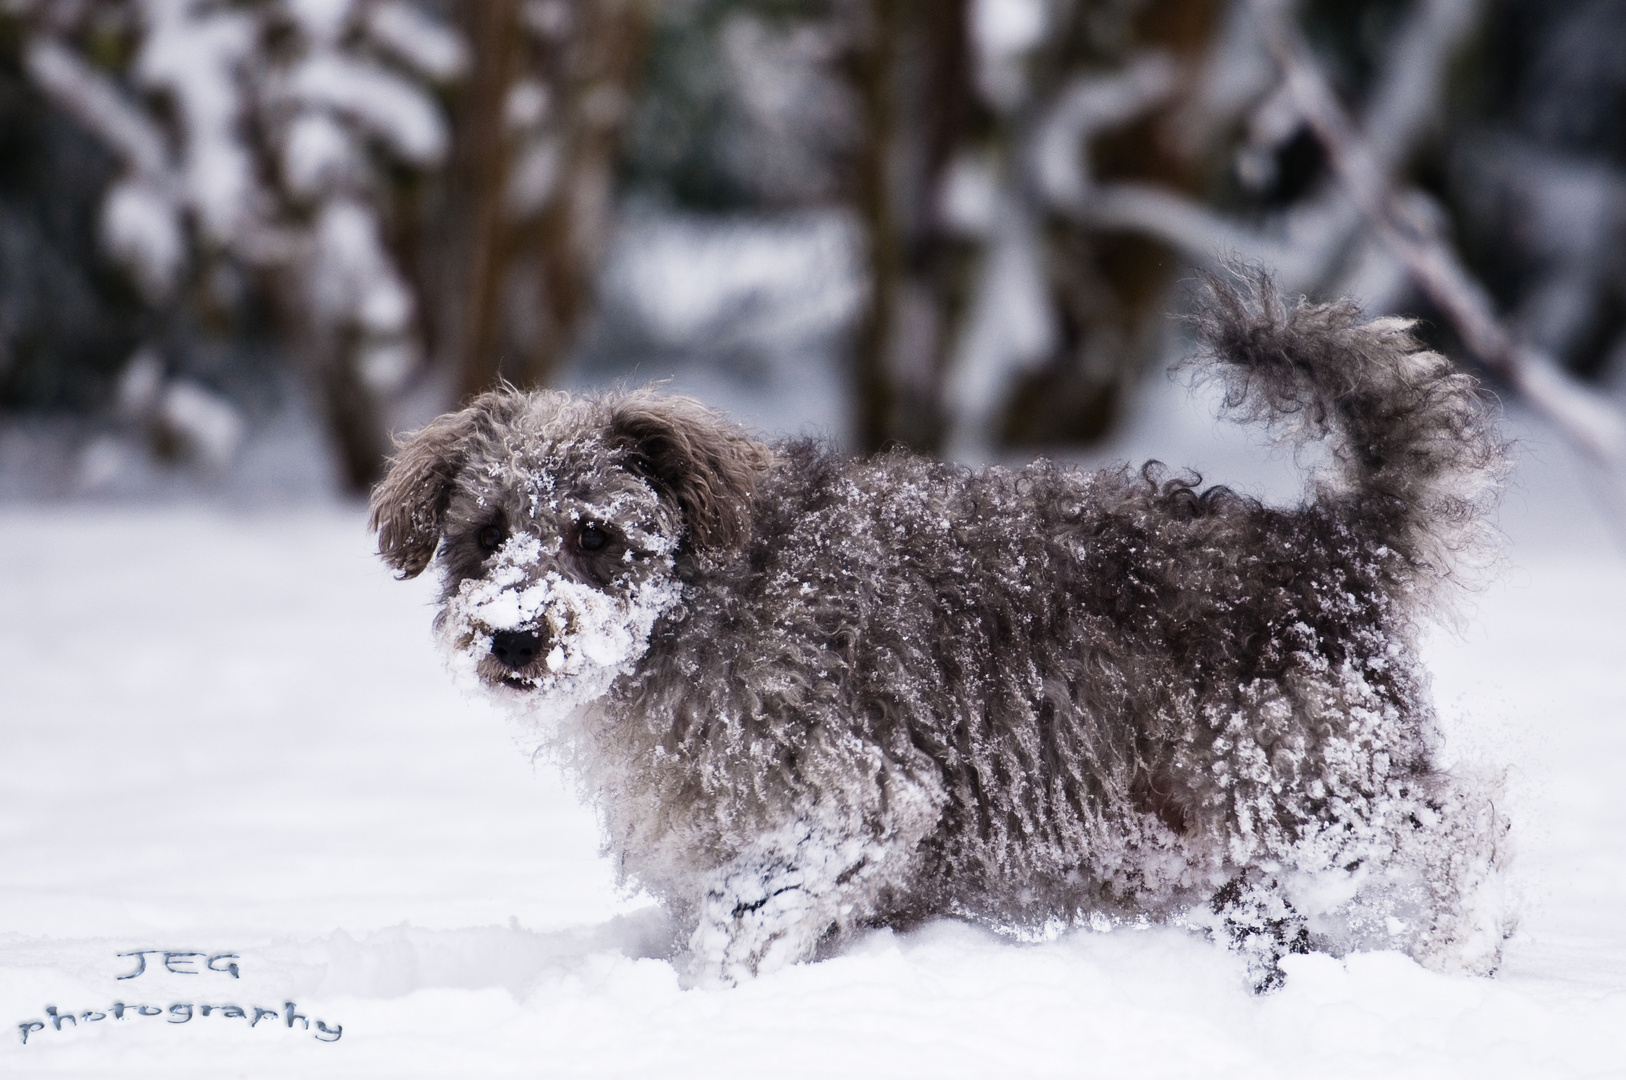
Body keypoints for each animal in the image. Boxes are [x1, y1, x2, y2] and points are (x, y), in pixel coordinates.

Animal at [369, 276, 1508, 988]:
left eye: (595, 534)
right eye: (486, 535)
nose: (514, 638)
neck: (698, 609)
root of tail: (1329, 544)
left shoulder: (852, 808)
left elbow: (740, 933)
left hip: (1310, 785)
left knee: (1462, 827)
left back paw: (1456, 957)